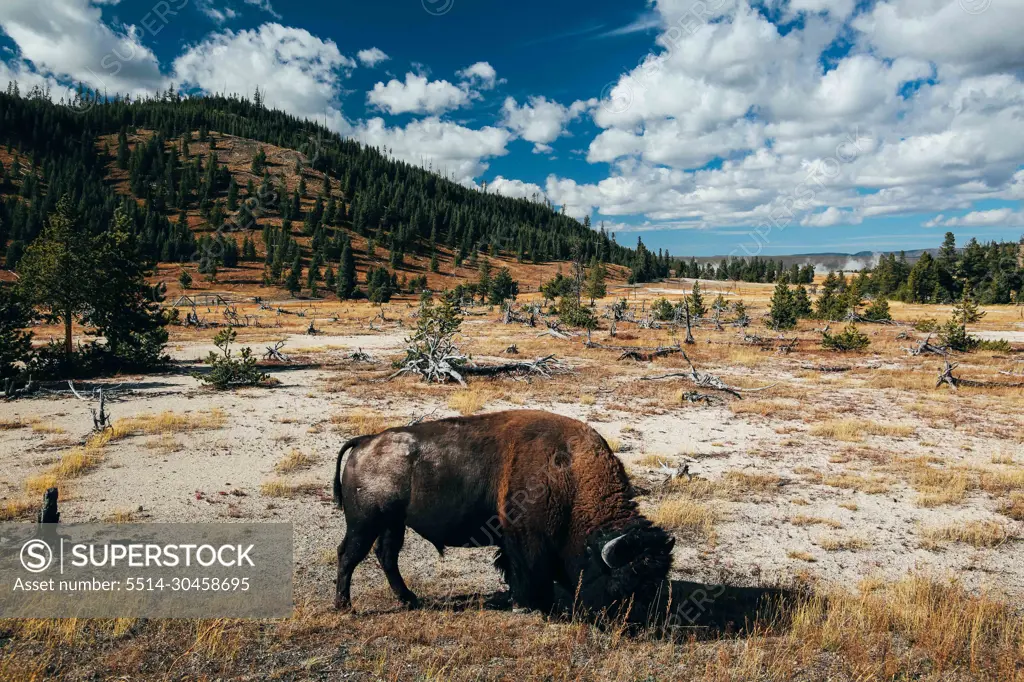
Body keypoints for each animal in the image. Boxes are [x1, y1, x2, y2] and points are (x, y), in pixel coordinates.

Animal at [331, 409, 675, 614]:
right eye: (624, 579)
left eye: (658, 579)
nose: (634, 621)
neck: (570, 477)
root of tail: (365, 441)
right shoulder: (525, 540)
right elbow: (526, 570)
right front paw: (529, 605)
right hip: (365, 522)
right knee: (349, 555)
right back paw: (344, 606)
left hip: (393, 523)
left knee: (386, 556)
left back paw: (409, 598)